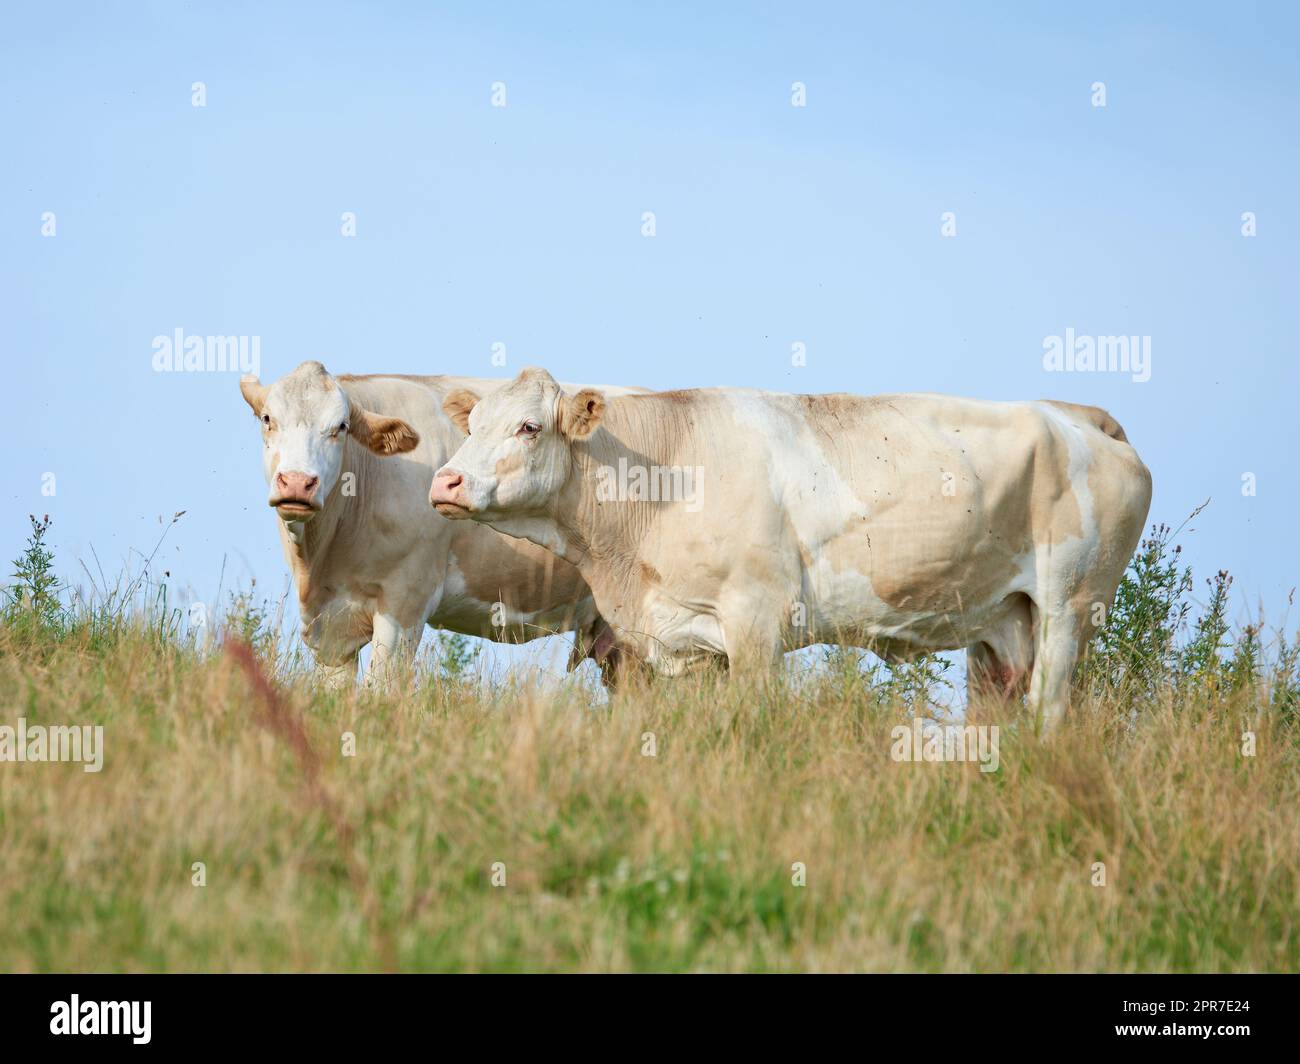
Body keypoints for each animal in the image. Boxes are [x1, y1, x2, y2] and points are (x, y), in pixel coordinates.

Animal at [431, 366, 1154, 728]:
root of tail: (1075, 415)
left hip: (1070, 607)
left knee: (1050, 710)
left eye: (529, 427)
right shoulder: (687, 639)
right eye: (474, 422)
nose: (445, 481)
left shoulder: (756, 618)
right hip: (1001, 623)